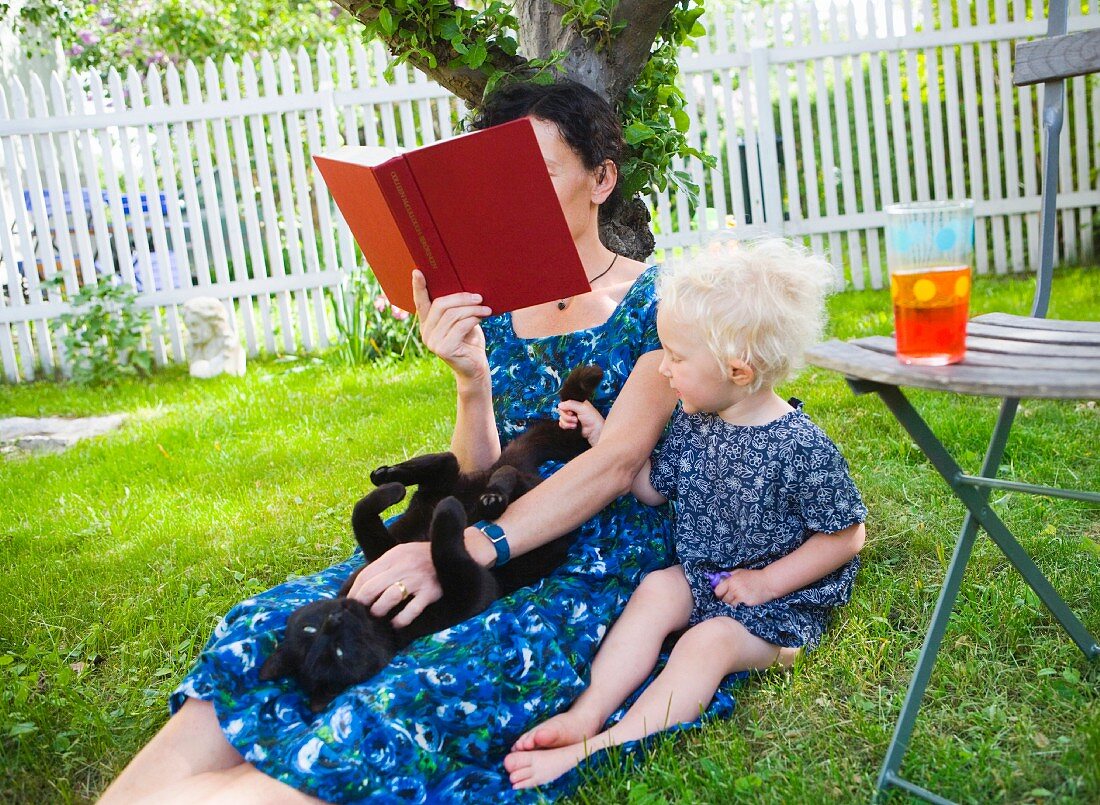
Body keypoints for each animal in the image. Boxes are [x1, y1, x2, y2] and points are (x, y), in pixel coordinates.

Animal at [259, 365, 602, 712]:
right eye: (336, 652)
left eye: (310, 626)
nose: (335, 619)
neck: (375, 616)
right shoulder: (471, 590)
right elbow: (444, 550)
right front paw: (448, 515)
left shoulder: (380, 551)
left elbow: (361, 513)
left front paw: (392, 492)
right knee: (503, 478)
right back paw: (490, 498)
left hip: (438, 488)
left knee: (446, 462)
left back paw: (390, 476)